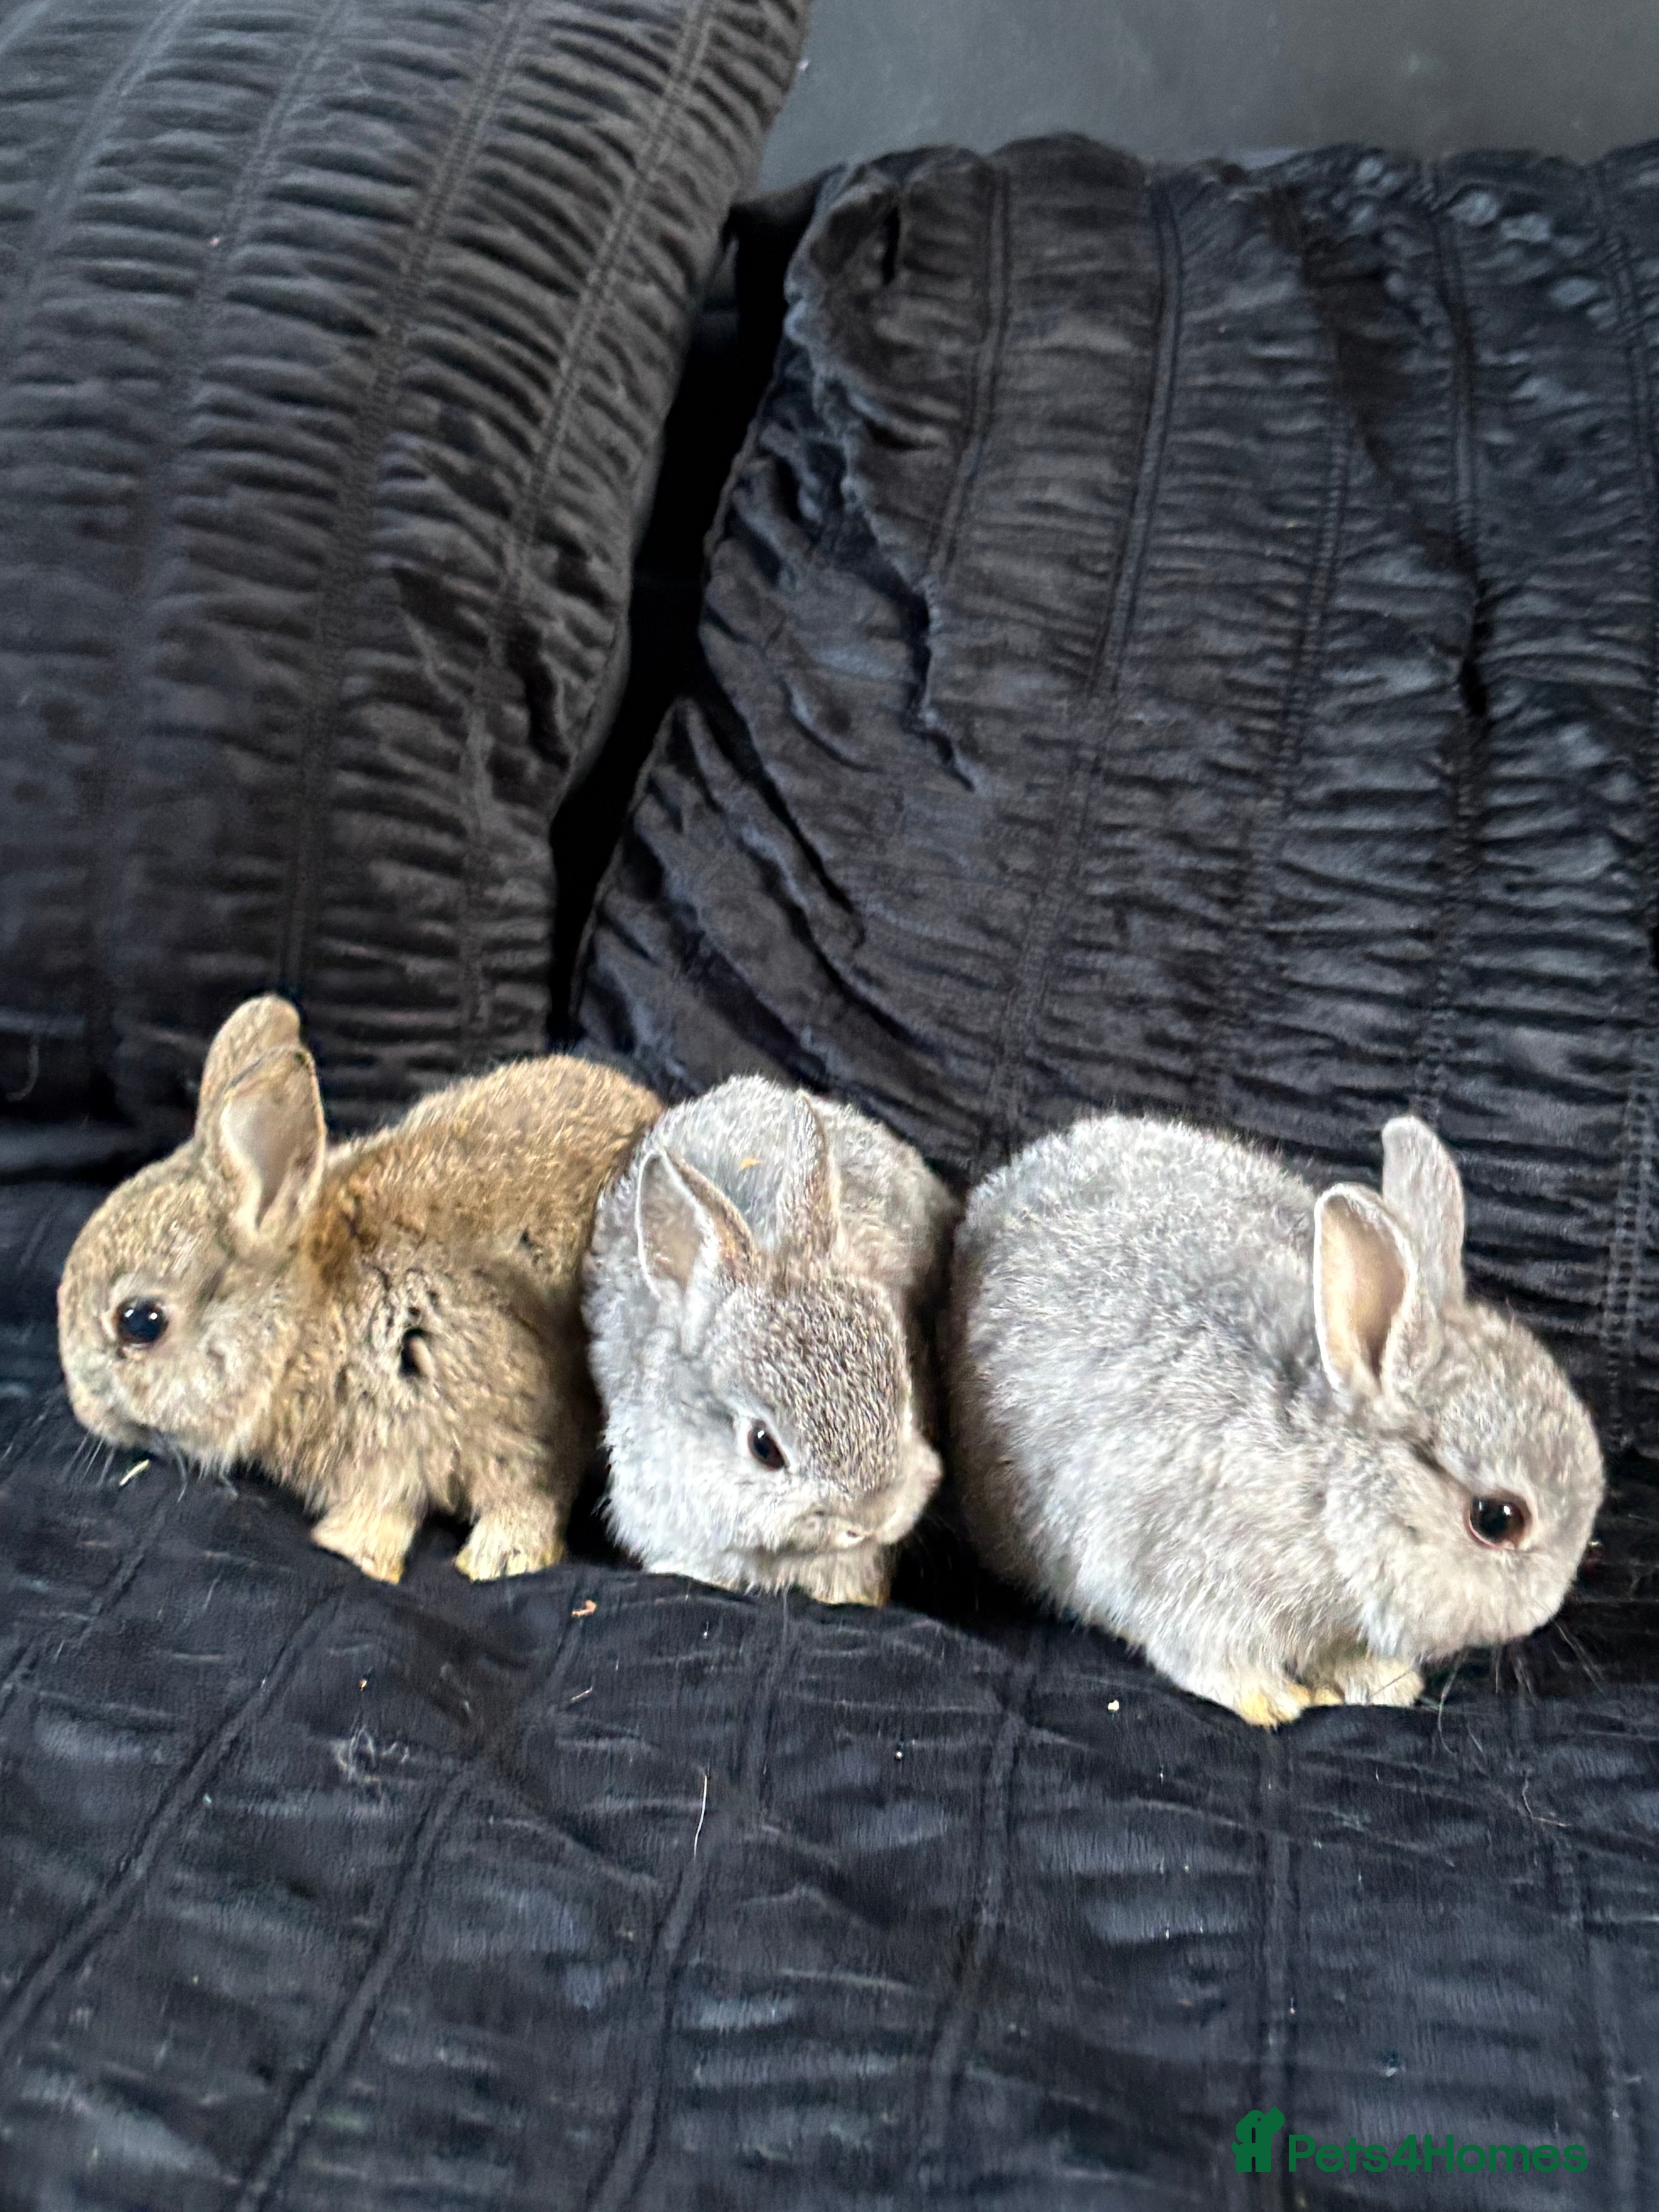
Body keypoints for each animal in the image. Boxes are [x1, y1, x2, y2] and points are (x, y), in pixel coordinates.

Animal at [58, 995, 661, 1583]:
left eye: (141, 1321)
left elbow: (526, 1493)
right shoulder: (382, 1464)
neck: (299, 1332)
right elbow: (383, 1506)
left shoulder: (515, 1409)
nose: (84, 1411)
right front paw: (355, 1550)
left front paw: (501, 1560)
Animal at [949, 1112, 1605, 1726]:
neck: (1329, 1487)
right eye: (1497, 1520)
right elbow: (1207, 1656)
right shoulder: (1180, 1575)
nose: (1545, 1609)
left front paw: (1382, 1682)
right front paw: (1274, 1701)